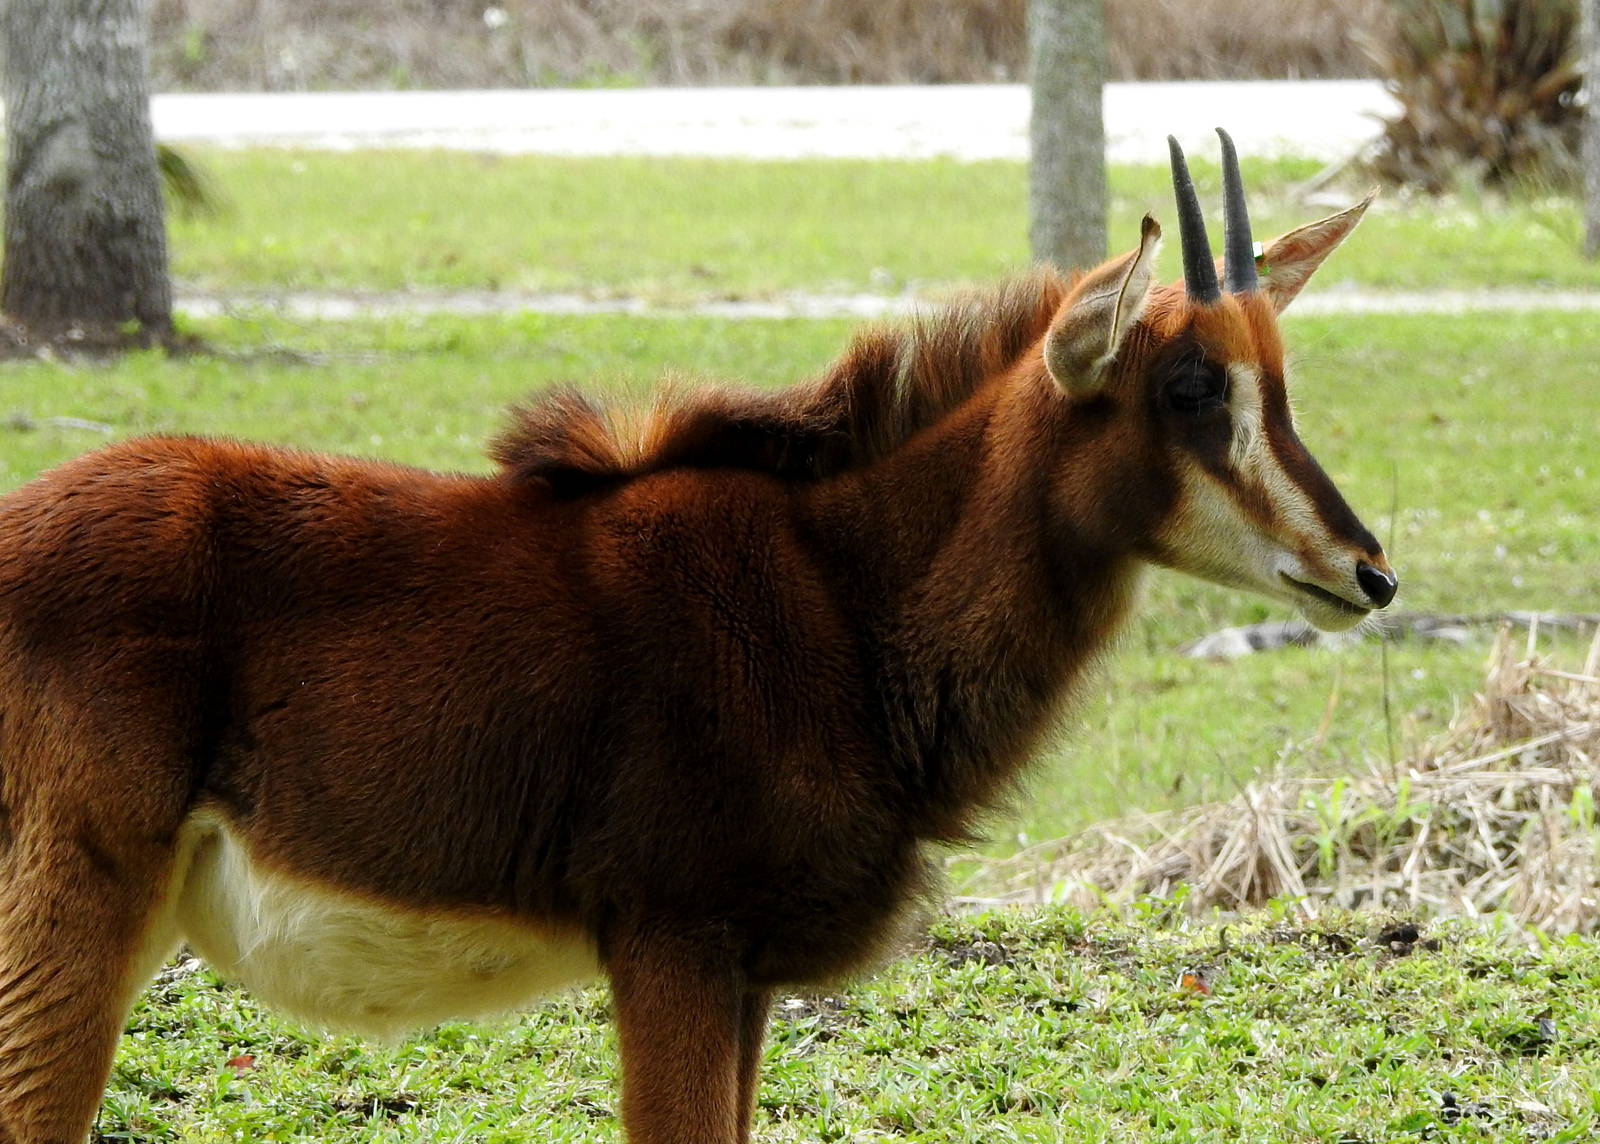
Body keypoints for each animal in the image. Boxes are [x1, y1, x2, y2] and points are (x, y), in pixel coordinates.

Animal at [0, 130, 1395, 1144]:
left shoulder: (746, 975)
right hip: (71, 906)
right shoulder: (671, 945)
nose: (1366, 574)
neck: (836, 594)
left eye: (1277, 378)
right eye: (1188, 387)